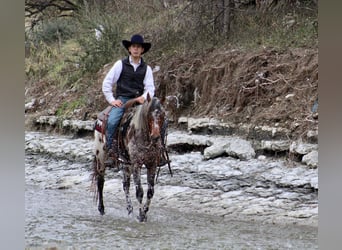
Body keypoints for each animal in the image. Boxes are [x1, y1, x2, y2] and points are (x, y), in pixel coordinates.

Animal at [91, 94, 168, 223]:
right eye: (149, 114)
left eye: (162, 114)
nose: (156, 137)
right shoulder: (137, 164)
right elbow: (139, 192)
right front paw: (141, 216)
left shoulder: (151, 164)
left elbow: (150, 192)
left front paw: (144, 213)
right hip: (100, 157)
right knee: (100, 181)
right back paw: (101, 209)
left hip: (127, 163)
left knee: (125, 185)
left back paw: (130, 210)